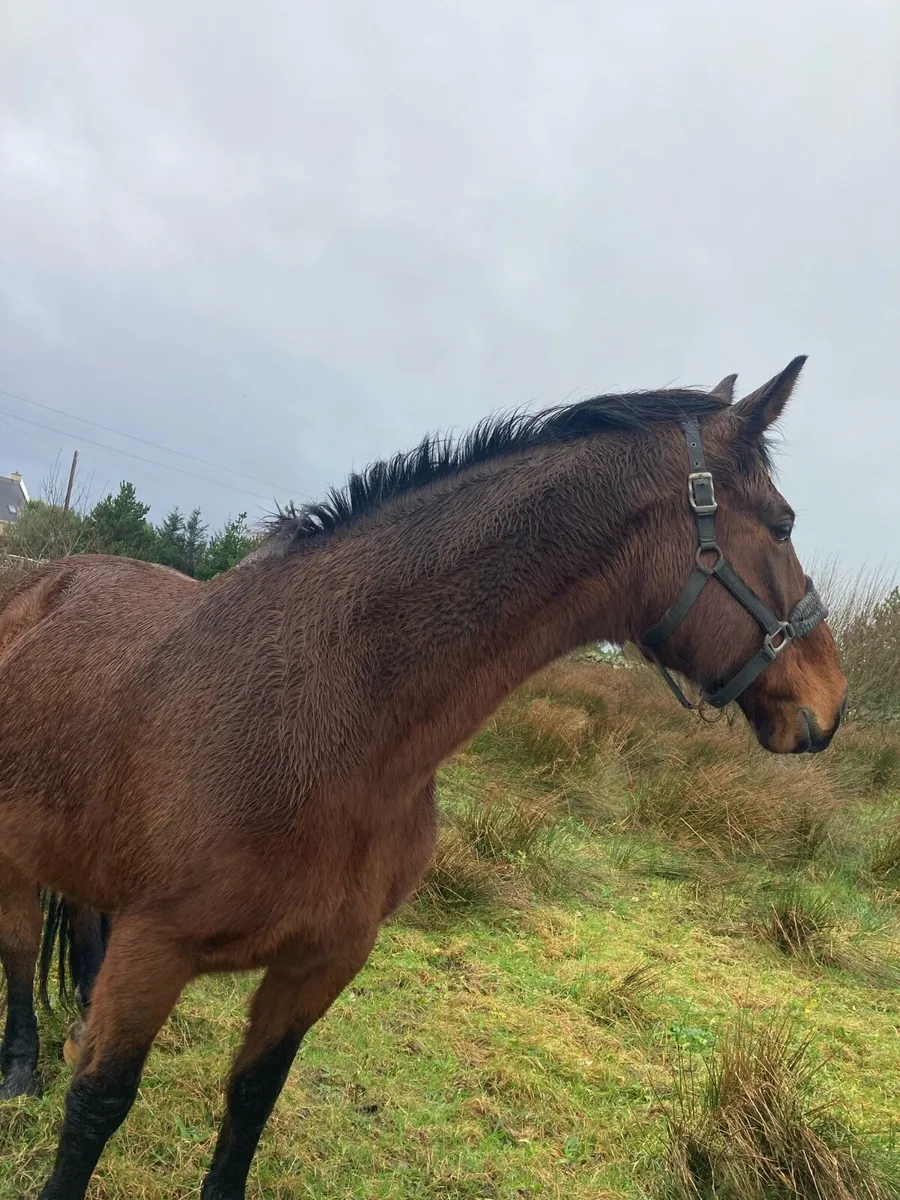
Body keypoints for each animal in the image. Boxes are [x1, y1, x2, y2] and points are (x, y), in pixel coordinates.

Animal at [0, 357, 847, 1199]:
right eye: (782, 524)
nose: (832, 702)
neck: (329, 716)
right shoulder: (155, 950)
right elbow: (97, 1108)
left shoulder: (322, 962)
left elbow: (250, 1101)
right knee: (17, 950)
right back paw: (21, 1071)